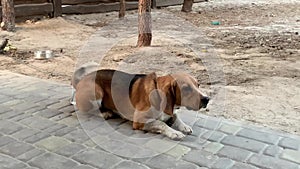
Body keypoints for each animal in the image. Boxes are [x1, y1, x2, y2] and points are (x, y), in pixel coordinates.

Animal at [71, 68, 210, 139]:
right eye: (186, 88)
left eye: (198, 85)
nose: (207, 99)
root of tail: (81, 80)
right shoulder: (139, 120)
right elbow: (161, 123)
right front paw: (174, 132)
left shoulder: (170, 111)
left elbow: (176, 116)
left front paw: (184, 126)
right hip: (97, 91)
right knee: (84, 109)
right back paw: (106, 113)